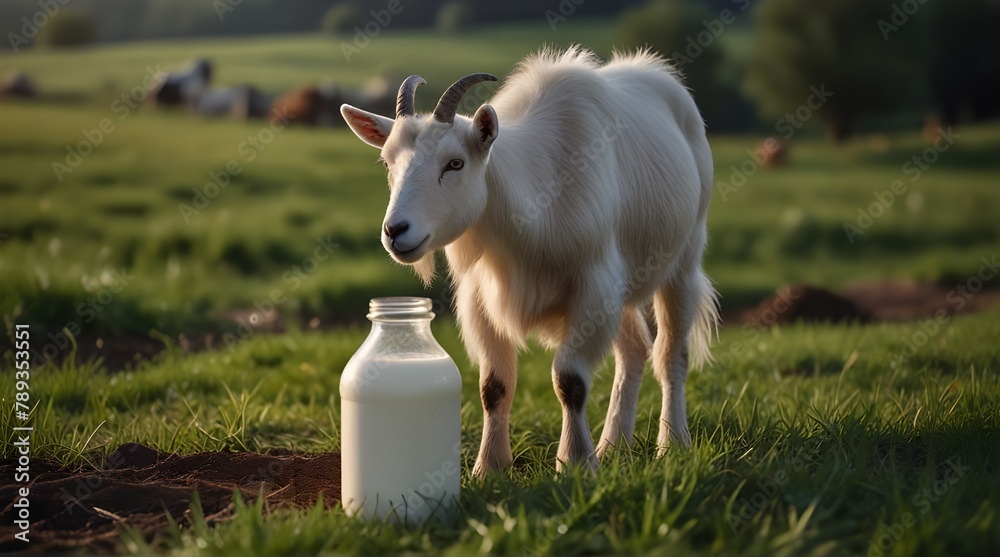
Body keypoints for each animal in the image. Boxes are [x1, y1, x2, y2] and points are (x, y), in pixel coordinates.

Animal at [341, 48, 718, 474]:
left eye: (455, 163)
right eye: (388, 162)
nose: (396, 230)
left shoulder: (592, 285)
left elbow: (570, 381)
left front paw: (574, 463)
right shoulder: (480, 296)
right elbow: (493, 386)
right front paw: (489, 467)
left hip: (683, 260)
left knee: (672, 354)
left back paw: (672, 445)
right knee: (634, 352)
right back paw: (613, 446)